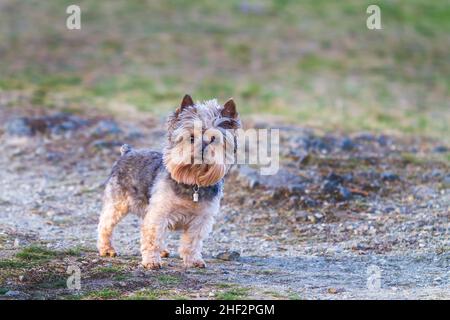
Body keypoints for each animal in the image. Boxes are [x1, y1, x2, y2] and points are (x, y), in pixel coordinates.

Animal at [97, 94, 241, 268]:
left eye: (213, 139)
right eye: (191, 137)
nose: (201, 148)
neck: (193, 182)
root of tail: (127, 152)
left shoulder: (201, 219)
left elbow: (192, 241)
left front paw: (193, 260)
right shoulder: (159, 212)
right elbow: (152, 236)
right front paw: (151, 261)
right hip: (118, 202)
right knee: (106, 224)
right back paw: (107, 249)